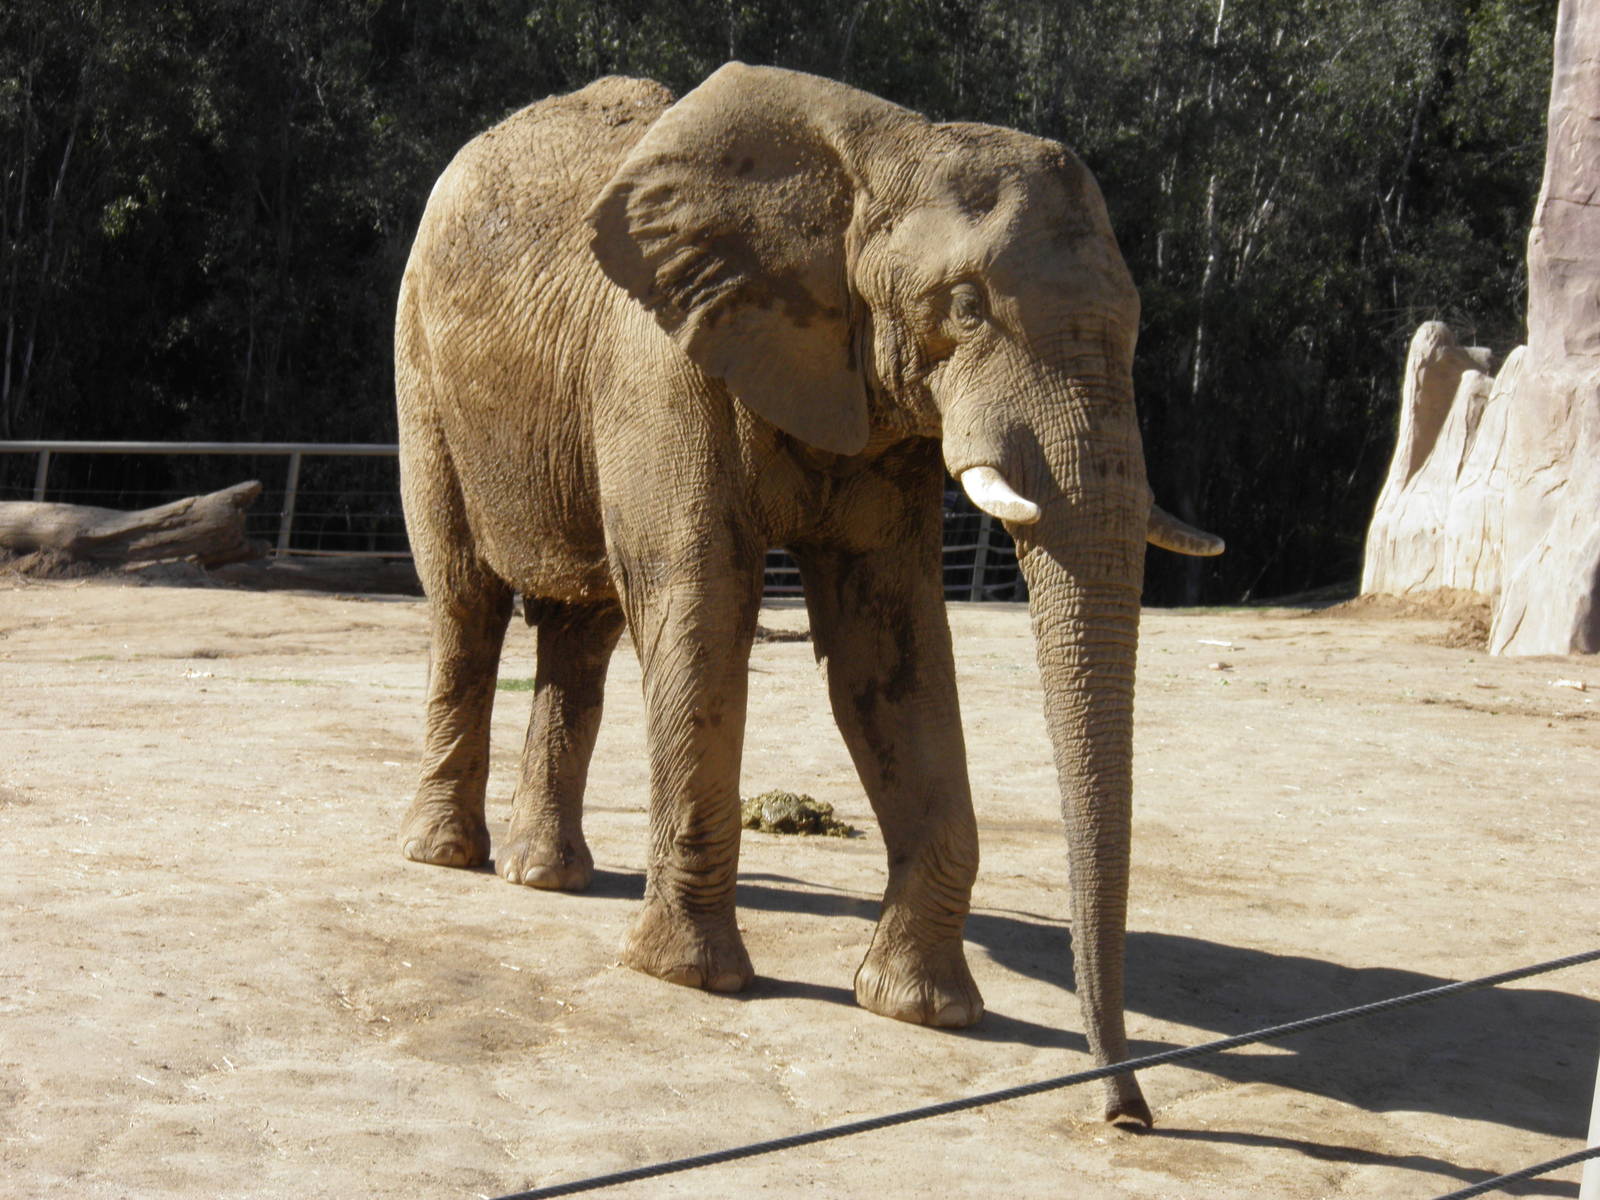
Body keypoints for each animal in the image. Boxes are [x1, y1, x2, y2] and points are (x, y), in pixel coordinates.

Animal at [393, 63, 1221, 1126]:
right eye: (965, 308)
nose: (1128, 1113)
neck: (884, 153)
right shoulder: (664, 366)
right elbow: (702, 602)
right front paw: (689, 980)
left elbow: (894, 644)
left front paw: (921, 1009)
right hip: (422, 372)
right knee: (465, 603)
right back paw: (446, 858)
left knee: (583, 632)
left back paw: (546, 878)